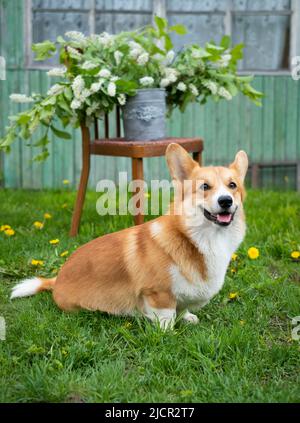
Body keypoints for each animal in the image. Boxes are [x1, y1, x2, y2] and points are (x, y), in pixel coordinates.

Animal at [10, 144, 247, 330]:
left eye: (232, 185)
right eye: (205, 186)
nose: (226, 200)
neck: (202, 239)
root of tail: (57, 279)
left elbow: (183, 308)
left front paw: (187, 317)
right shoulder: (158, 294)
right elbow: (167, 316)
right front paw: (168, 333)